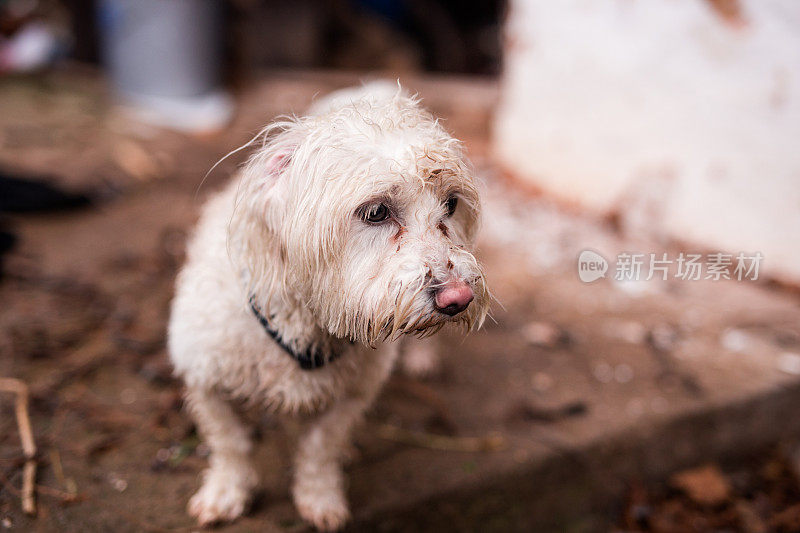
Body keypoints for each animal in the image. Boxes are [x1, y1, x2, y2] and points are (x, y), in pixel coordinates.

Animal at [169, 81, 488, 528]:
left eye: (452, 204)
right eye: (376, 212)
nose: (458, 299)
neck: (305, 325)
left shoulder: (350, 397)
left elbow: (320, 448)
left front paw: (319, 497)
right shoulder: (206, 380)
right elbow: (230, 442)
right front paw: (226, 492)